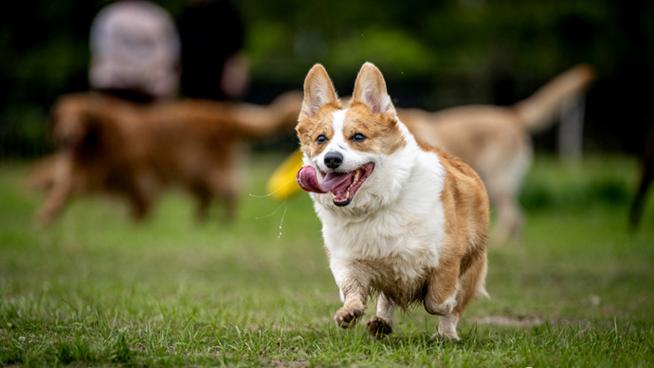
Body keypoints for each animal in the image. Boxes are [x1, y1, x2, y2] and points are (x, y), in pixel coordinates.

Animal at [34, 91, 302, 224]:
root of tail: (222, 114)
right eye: (62, 116)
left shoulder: (138, 171)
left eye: (80, 116)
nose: (65, 136)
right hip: (194, 174)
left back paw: (226, 219)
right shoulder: (82, 173)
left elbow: (142, 197)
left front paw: (139, 219)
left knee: (229, 190)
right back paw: (198, 220)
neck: (98, 141)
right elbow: (61, 192)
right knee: (208, 196)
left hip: (202, 168)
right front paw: (46, 216)